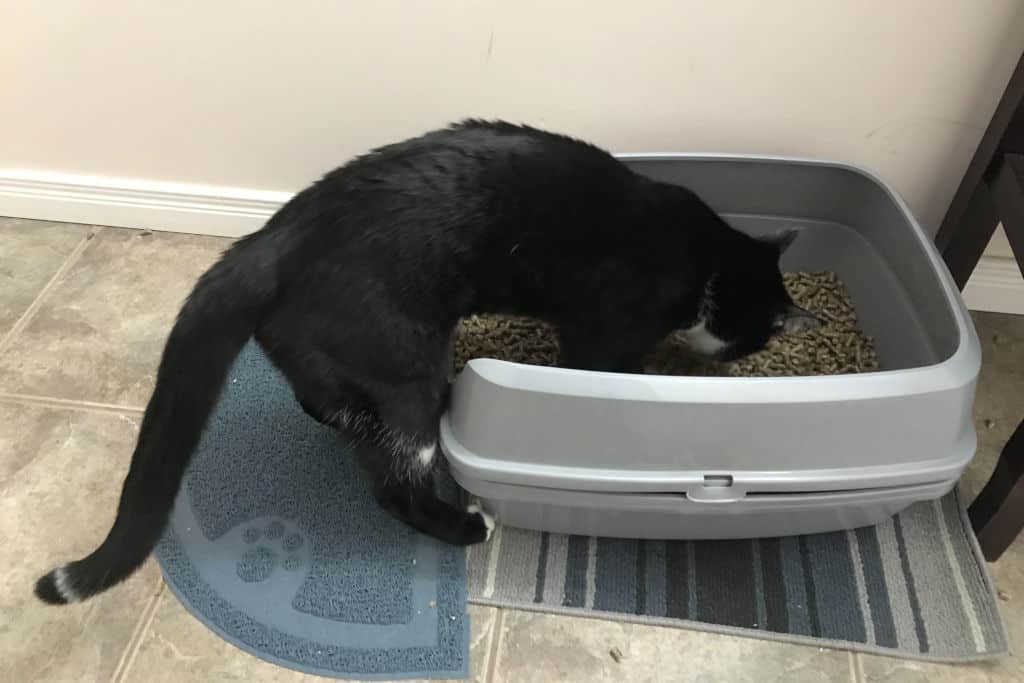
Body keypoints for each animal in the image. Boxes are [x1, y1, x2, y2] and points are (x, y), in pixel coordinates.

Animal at [34, 120, 815, 606]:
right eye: (757, 340)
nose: (749, 354)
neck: (709, 262)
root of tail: (269, 239)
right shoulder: (604, 331)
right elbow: (607, 369)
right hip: (410, 365)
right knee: (393, 482)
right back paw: (464, 524)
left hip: (322, 349)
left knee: (324, 402)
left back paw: (341, 417)